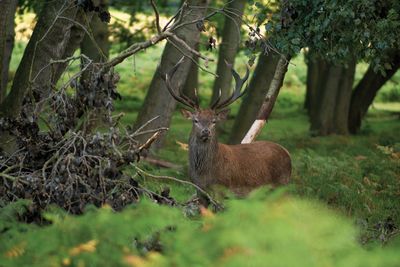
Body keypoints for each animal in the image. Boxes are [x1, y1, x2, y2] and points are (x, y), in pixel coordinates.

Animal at [164, 58, 292, 197]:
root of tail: (287, 153)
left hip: (282, 184)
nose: (206, 131)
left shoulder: (222, 189)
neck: (203, 175)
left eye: (214, 121)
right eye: (195, 120)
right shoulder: (199, 190)